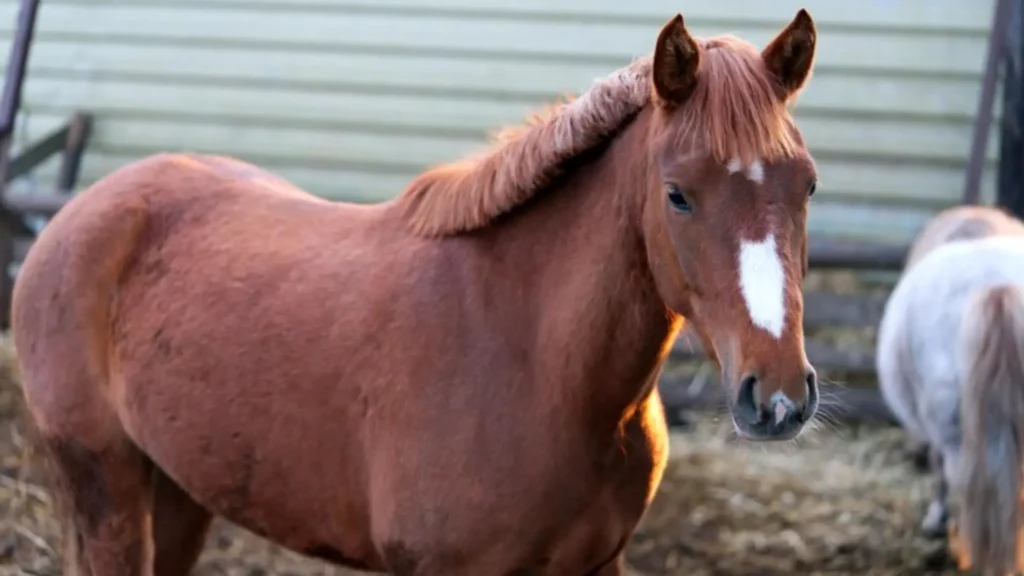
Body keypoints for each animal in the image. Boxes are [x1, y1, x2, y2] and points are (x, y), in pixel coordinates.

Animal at [9, 10, 823, 573]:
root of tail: (75, 218)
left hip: (179, 488)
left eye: (808, 185)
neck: (536, 365)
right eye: (678, 195)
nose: (778, 396)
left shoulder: (599, 561)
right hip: (107, 485)